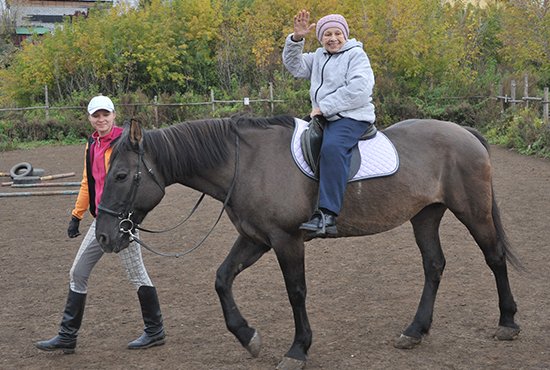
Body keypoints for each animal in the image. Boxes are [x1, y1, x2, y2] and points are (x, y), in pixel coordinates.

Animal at [95, 115, 520, 370]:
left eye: (120, 175)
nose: (103, 236)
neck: (245, 164)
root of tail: (464, 133)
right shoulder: (255, 238)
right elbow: (221, 279)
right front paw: (247, 336)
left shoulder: (286, 240)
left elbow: (296, 292)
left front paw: (298, 349)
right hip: (426, 216)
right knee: (434, 266)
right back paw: (415, 331)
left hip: (474, 212)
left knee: (495, 257)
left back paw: (508, 322)